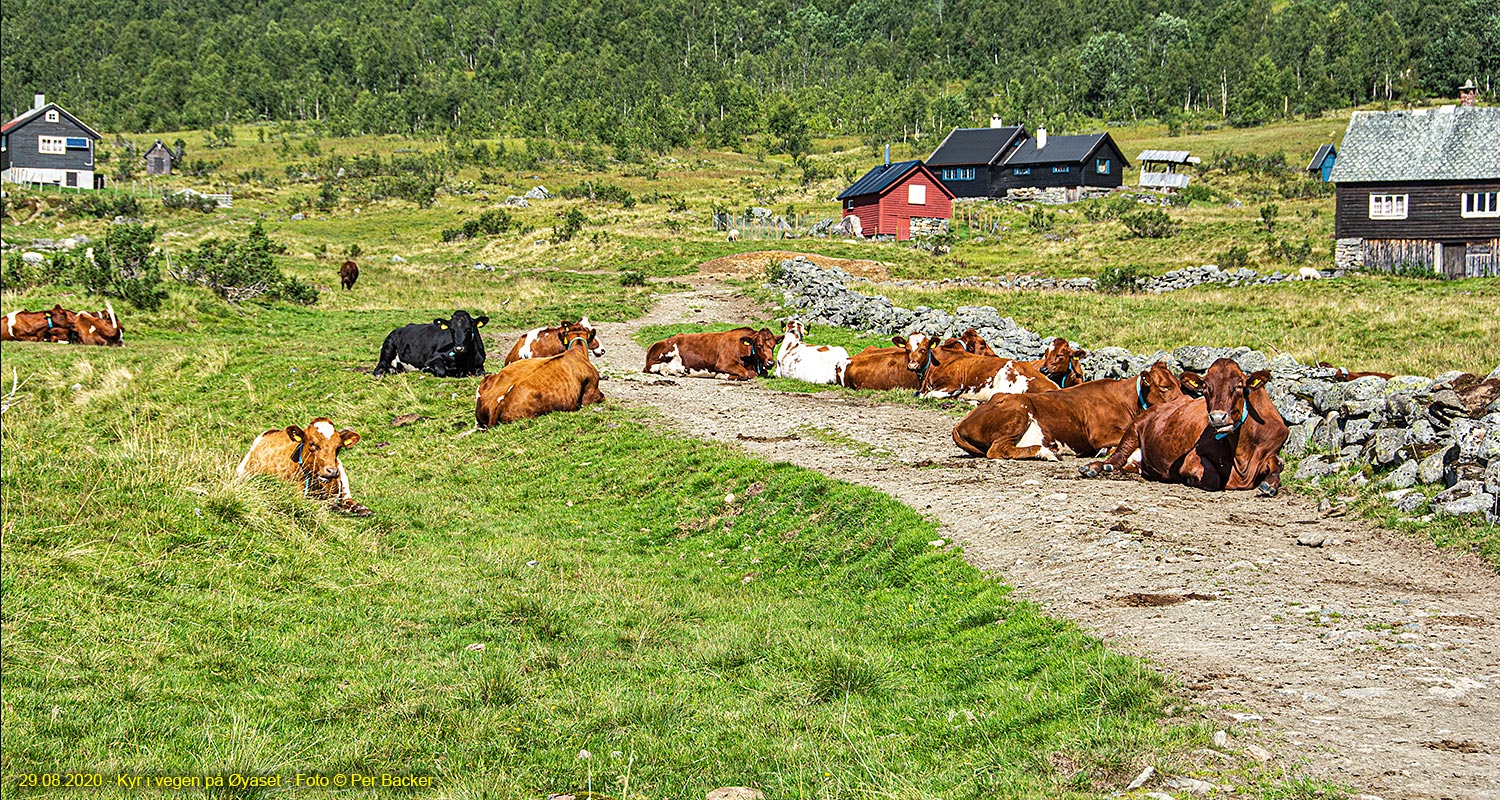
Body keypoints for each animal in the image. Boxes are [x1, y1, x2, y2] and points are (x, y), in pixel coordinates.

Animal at [645, 327, 780, 384]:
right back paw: (666, 370)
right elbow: (745, 373)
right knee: (650, 367)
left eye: (773, 346)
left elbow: (762, 373)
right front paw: (722, 375)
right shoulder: (724, 363)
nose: (770, 363)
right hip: (664, 352)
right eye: (759, 345)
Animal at [954, 363, 1188, 462]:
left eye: (1179, 384)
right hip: (1019, 409)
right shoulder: (1099, 435)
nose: (1186, 402)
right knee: (998, 449)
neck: (1125, 400)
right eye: (1165, 386)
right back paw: (1046, 452)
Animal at [1080, 358, 1290, 495]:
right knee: (1115, 457)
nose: (1218, 417)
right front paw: (1190, 479)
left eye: (1239, 386)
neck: (1242, 457)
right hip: (1134, 429)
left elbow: (1277, 464)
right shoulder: (1193, 456)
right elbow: (1211, 479)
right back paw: (1095, 467)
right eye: (1205, 388)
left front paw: (1270, 484)